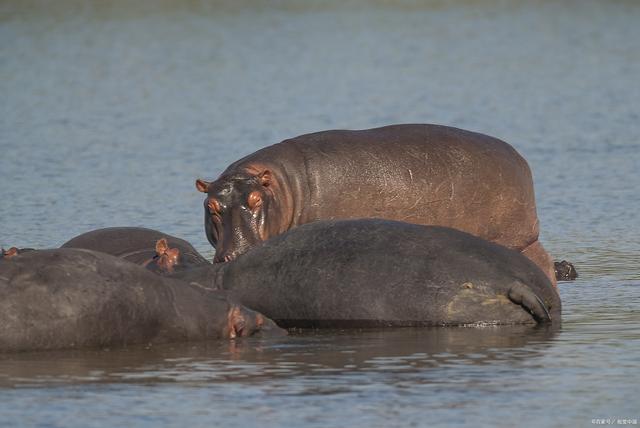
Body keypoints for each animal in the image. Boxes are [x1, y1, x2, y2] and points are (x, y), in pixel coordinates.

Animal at [195, 123, 556, 284]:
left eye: (256, 199)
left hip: (511, 237)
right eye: (211, 207)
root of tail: (520, 158)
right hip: (524, 238)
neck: (284, 186)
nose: (235, 255)